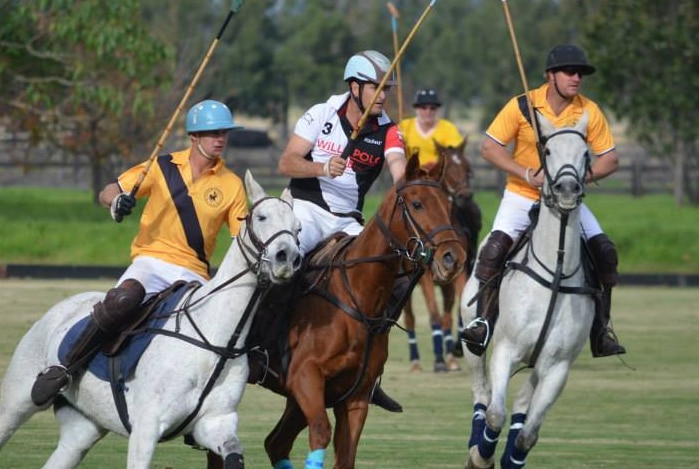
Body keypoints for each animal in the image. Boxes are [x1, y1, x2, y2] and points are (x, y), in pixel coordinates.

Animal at [0, 171, 300, 468]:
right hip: (17, 400)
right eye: (261, 217)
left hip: (82, 428)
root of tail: (61, 307)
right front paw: (120, 203)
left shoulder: (216, 423)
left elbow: (233, 453)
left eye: (297, 228)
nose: (287, 258)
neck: (214, 339)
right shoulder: (147, 426)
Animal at [237, 154, 470, 468]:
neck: (358, 299)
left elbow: (345, 456)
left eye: (447, 205)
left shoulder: (354, 396)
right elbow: (321, 432)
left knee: (275, 443)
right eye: (417, 203)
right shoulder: (305, 378)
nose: (453, 258)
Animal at [402, 138, 484, 370]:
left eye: (468, 168)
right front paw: (438, 360)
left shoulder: (460, 273)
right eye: (450, 171)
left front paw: (455, 350)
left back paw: (450, 355)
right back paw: (416, 360)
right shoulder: (426, 278)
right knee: (410, 318)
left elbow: (457, 312)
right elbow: (434, 315)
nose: (465, 196)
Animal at [462, 113, 600, 468]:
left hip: (536, 364)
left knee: (523, 403)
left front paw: (512, 457)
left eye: (586, 154)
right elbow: (495, 414)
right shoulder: (505, 349)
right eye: (547, 151)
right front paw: (481, 455)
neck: (556, 270)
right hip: (473, 344)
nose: (567, 189)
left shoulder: (558, 367)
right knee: (481, 393)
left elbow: (528, 434)